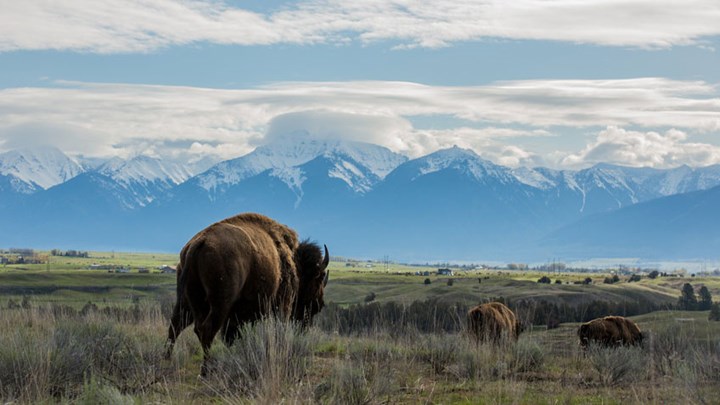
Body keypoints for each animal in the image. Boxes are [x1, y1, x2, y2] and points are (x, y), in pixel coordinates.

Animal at [163, 213, 330, 374]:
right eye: (319, 277)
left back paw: (166, 360)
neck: (294, 260)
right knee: (206, 329)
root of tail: (199, 242)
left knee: (176, 325)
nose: (319, 304)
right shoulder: (282, 304)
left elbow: (232, 336)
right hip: (220, 303)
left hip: (187, 301)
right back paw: (206, 370)